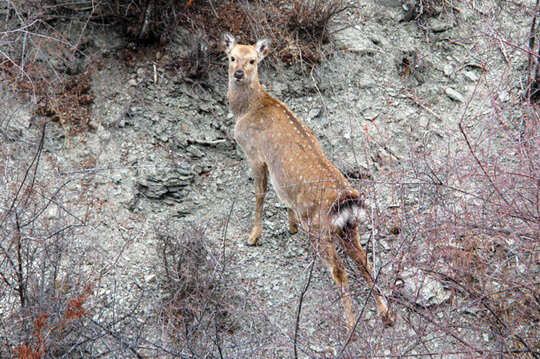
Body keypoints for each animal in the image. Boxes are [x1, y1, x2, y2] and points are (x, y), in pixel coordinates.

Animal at [221, 33, 394, 332]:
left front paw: (254, 236)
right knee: (366, 262)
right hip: (349, 229)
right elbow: (282, 196)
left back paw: (349, 326)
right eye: (232, 57)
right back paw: (386, 315)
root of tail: (347, 203)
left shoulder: (255, 154)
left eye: (252, 60)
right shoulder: (280, 174)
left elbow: (260, 194)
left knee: (340, 271)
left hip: (320, 229)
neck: (247, 110)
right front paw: (290, 227)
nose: (238, 73)